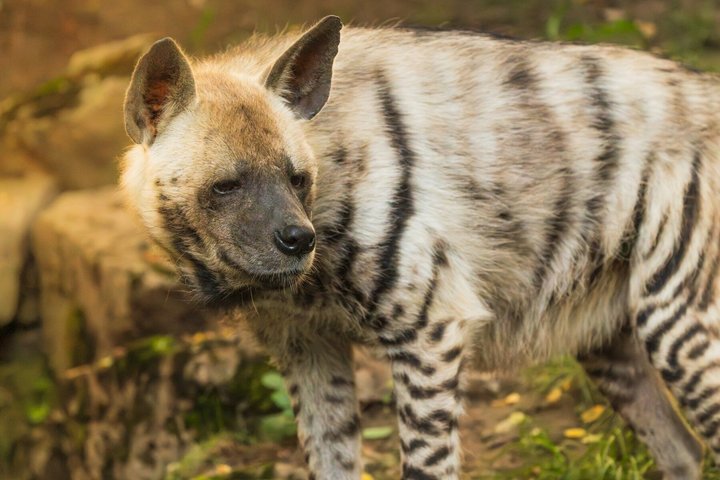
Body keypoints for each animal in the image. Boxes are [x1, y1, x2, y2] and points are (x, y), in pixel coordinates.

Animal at [120, 15, 720, 479]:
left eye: (296, 179)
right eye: (227, 185)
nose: (297, 240)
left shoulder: (430, 330)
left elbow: (425, 463)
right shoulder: (307, 348)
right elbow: (330, 460)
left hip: (675, 321)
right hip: (607, 341)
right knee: (684, 453)